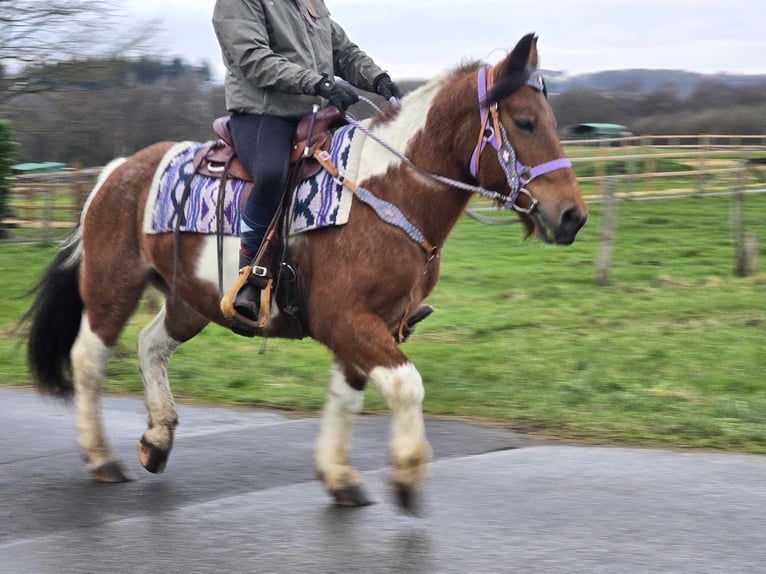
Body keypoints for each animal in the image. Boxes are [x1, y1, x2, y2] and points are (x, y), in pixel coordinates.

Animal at [24, 35, 588, 512]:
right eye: (525, 122)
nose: (572, 216)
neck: (386, 193)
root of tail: (115, 171)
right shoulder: (346, 319)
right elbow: (406, 386)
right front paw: (406, 476)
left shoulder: (374, 324)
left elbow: (347, 396)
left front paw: (338, 476)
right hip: (112, 287)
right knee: (89, 358)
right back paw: (101, 456)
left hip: (191, 300)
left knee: (149, 346)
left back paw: (157, 439)